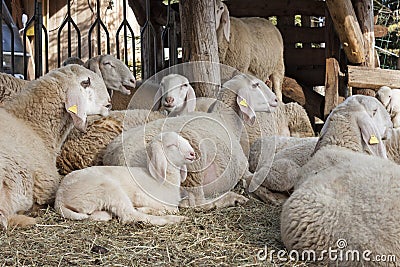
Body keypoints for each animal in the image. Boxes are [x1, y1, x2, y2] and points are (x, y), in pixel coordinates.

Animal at [54, 132, 195, 226]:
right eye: (172, 145)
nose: (192, 153)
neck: (164, 180)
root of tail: (59, 198)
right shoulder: (142, 196)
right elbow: (173, 208)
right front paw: (146, 209)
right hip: (107, 189)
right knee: (129, 215)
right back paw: (174, 219)